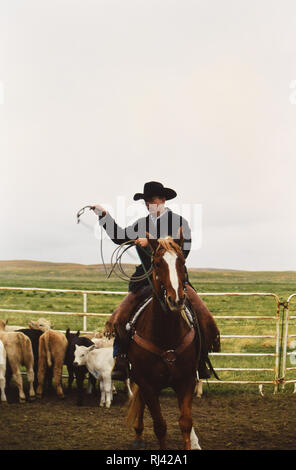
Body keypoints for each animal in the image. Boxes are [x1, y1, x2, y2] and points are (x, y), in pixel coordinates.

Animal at [126, 233, 201, 450]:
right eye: (158, 263)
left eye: (182, 261)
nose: (176, 300)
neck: (166, 334)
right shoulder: (147, 384)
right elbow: (160, 426)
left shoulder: (186, 380)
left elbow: (185, 422)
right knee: (141, 403)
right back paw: (138, 434)